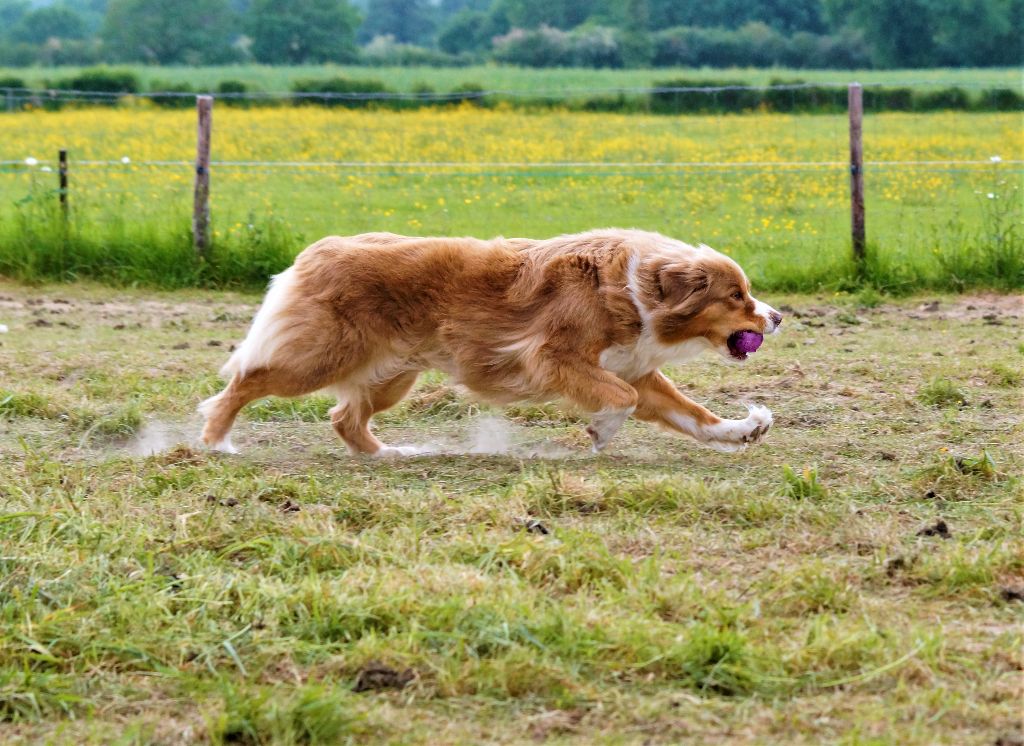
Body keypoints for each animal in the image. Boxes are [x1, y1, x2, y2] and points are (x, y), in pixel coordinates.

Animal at [201, 230, 782, 456]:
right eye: (737, 295)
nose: (777, 317)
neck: (636, 289)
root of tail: (316, 249)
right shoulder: (553, 357)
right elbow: (623, 399)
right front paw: (598, 431)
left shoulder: (633, 365)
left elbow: (692, 414)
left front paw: (743, 428)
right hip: (321, 357)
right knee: (242, 382)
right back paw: (215, 440)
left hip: (392, 376)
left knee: (344, 418)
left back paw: (388, 453)